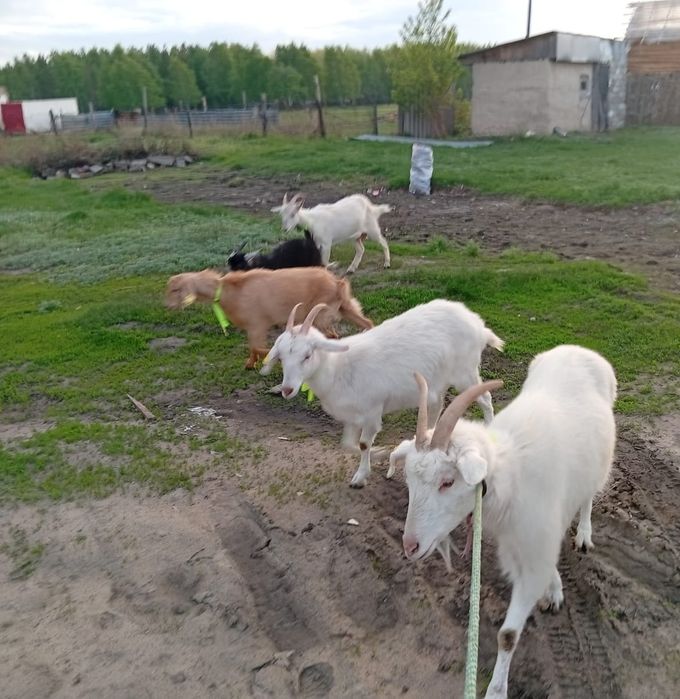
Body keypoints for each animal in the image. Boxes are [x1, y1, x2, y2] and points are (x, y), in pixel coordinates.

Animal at [164, 267, 373, 369]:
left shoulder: (257, 324)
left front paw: (270, 357)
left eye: (175, 290)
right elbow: (252, 347)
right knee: (366, 324)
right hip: (345, 307)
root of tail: (337, 283)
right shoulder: (254, 326)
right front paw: (250, 364)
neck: (229, 291)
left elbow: (257, 347)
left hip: (320, 314)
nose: (167, 306)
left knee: (333, 337)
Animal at [261, 299, 504, 487]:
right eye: (281, 357)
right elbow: (348, 444)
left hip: (466, 372)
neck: (340, 368)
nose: (287, 389)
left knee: (485, 399)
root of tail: (479, 326)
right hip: (438, 381)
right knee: (438, 405)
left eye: (307, 355)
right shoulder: (353, 416)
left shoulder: (372, 411)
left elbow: (363, 444)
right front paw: (378, 454)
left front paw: (360, 476)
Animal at [392, 345, 617, 699]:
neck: (509, 472)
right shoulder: (523, 541)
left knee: (588, 497)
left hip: (600, 463)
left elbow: (508, 635)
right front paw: (554, 589)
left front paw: (496, 691)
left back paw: (584, 532)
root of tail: (579, 349)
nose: (410, 545)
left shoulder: (534, 542)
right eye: (409, 481)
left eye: (447, 482)